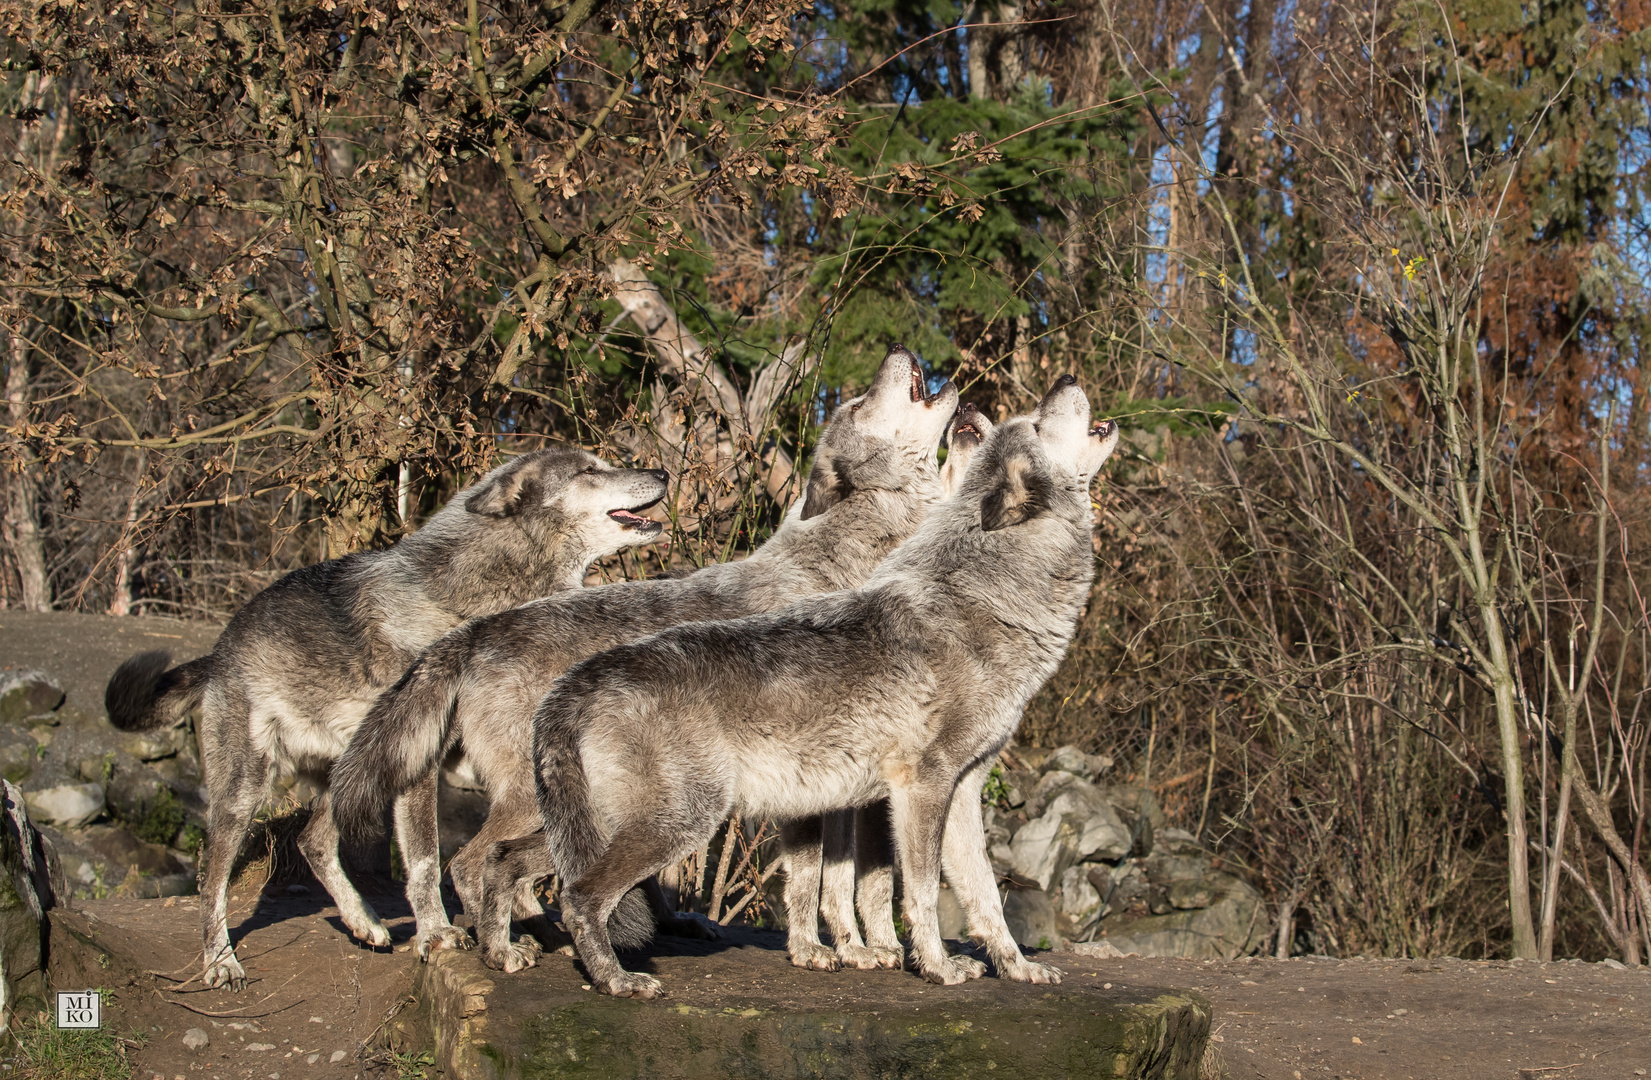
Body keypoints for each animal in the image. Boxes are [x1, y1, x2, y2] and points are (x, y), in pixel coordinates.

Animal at [103, 445, 667, 990]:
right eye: (588, 470)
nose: (661, 471)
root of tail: (218, 652)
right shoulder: (426, 764)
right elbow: (426, 860)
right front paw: (439, 933)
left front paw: (526, 927)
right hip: (247, 793)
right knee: (210, 877)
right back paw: (221, 963)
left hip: (356, 775)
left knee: (311, 840)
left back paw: (365, 924)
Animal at [521, 376, 1116, 1004]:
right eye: (1038, 423)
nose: (1065, 380)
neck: (987, 598)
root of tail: (574, 683)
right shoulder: (922, 787)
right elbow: (921, 894)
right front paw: (936, 967)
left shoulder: (962, 790)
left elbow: (985, 898)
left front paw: (1015, 967)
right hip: (678, 825)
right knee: (579, 897)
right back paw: (613, 979)